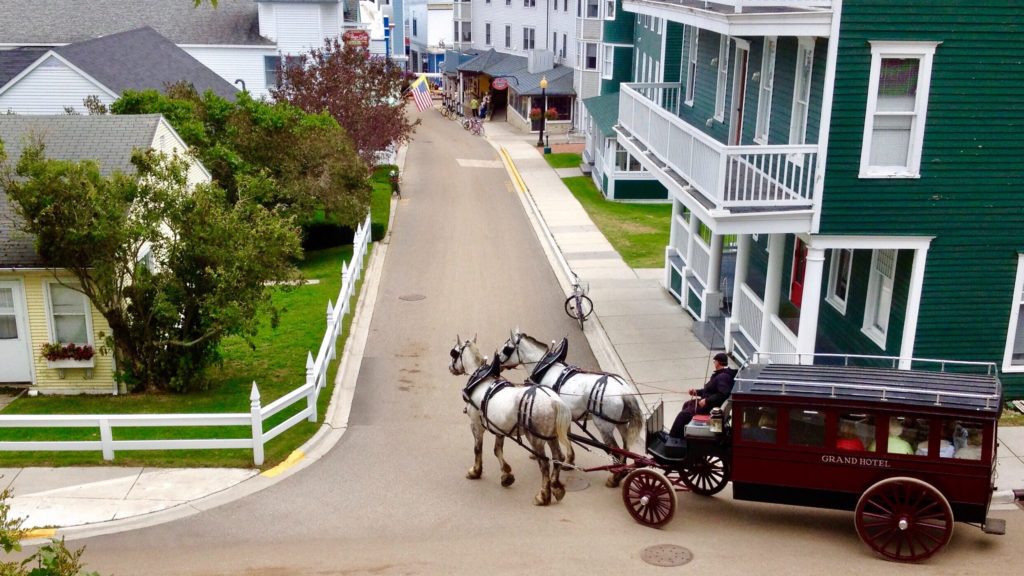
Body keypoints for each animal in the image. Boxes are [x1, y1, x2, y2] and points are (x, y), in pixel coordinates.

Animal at [450, 334, 577, 504]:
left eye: (454, 353)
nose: (450, 367)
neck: (481, 382)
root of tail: (554, 401)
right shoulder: (499, 428)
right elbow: (497, 450)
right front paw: (506, 475)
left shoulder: (476, 424)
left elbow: (478, 449)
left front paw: (475, 471)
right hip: (551, 437)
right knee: (558, 458)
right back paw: (556, 487)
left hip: (536, 439)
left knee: (544, 463)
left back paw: (543, 495)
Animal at [493, 327, 643, 483]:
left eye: (506, 348)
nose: (497, 365)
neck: (545, 368)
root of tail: (624, 391)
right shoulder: (565, 415)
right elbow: (567, 436)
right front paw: (570, 461)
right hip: (621, 422)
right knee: (626, 447)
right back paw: (622, 473)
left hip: (604, 425)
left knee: (615, 450)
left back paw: (614, 478)